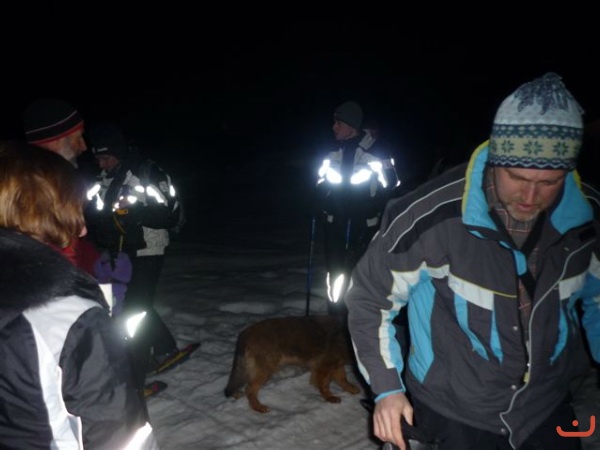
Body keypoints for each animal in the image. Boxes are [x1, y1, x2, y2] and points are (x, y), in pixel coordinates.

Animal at [224, 314, 361, 413]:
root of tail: (246, 333)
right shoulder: (324, 366)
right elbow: (324, 384)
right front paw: (328, 397)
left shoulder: (337, 364)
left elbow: (343, 379)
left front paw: (349, 388)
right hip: (265, 369)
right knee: (249, 390)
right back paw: (258, 407)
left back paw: (238, 396)